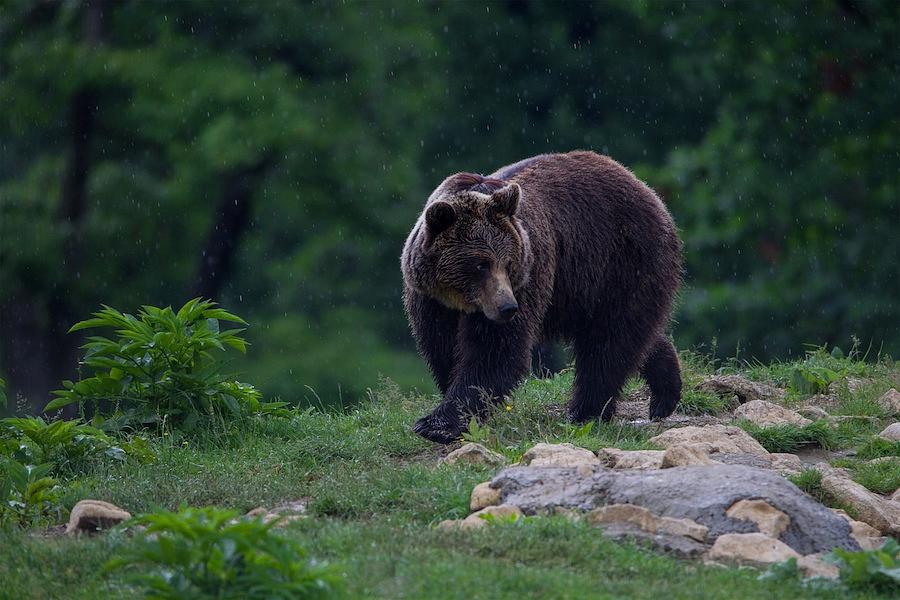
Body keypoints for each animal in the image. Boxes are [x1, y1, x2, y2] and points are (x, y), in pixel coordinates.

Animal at [400, 151, 684, 440]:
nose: (507, 307)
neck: (460, 299)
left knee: (610, 341)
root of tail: (646, 189)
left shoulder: (528, 275)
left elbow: (494, 353)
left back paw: (585, 411)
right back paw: (664, 392)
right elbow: (442, 347)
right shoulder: (431, 299)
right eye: (481, 265)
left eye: (508, 264)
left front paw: (437, 424)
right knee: (631, 335)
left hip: (620, 261)